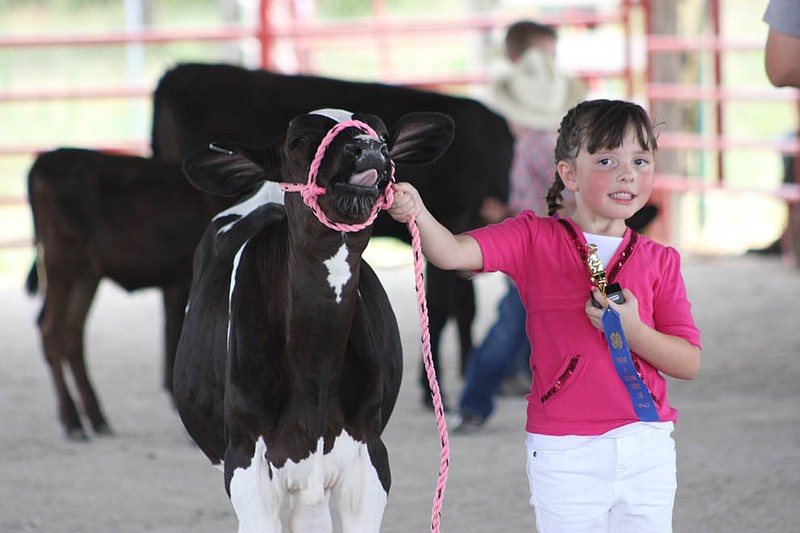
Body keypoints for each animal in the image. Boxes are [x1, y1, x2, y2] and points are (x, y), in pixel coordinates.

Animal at [25, 147, 230, 440]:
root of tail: (44, 160)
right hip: (61, 258)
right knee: (51, 329)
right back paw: (72, 420)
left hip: (88, 273)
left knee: (72, 331)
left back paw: (97, 417)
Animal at [153, 63, 516, 404]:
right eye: (300, 140)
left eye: (385, 137)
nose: (368, 147)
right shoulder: (455, 213)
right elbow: (446, 307)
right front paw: (437, 393)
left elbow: (461, 304)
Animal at [172, 106, 454, 528]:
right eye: (300, 139)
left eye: (384, 136)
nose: (369, 147)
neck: (315, 368)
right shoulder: (245, 465)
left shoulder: (371, 460)